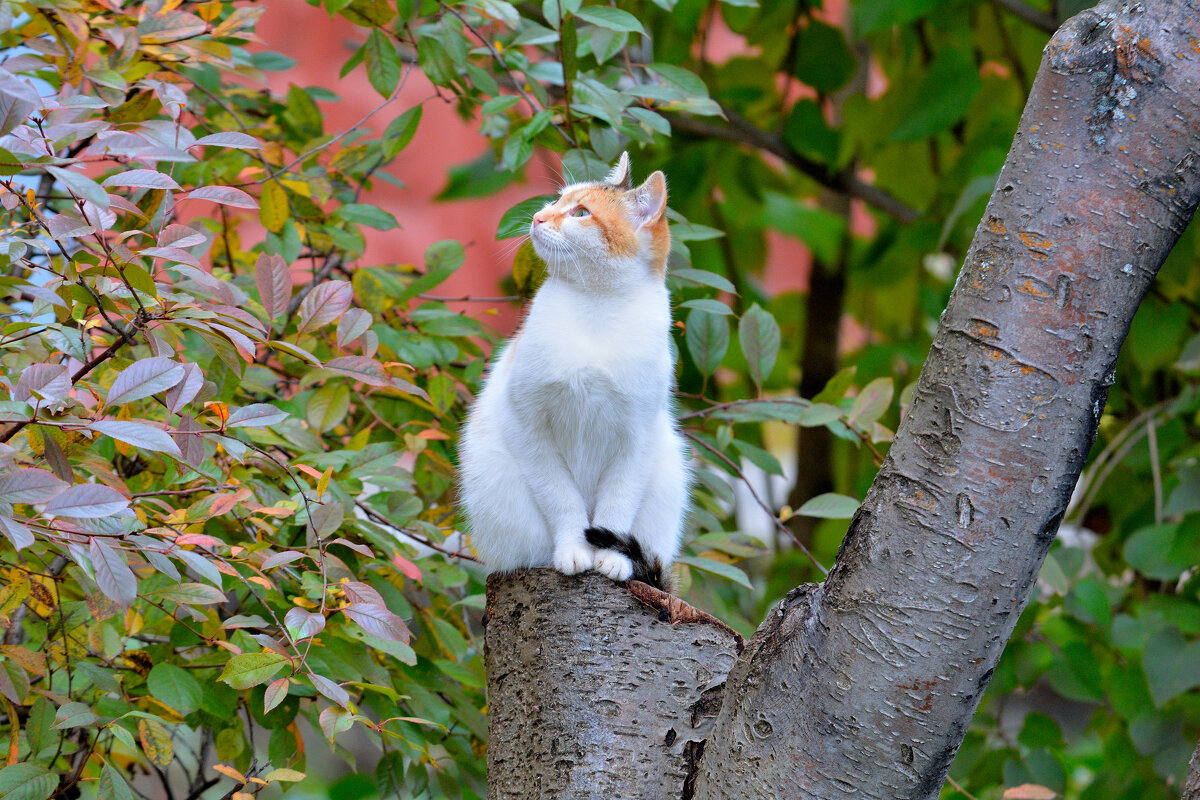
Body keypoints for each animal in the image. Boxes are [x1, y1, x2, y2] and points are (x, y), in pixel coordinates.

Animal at [456, 153, 691, 592]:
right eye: (556, 201)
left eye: (581, 213)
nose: (538, 217)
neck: (595, 308)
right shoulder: (529, 426)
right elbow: (562, 500)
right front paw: (574, 551)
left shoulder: (637, 439)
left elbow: (616, 507)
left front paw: (612, 559)